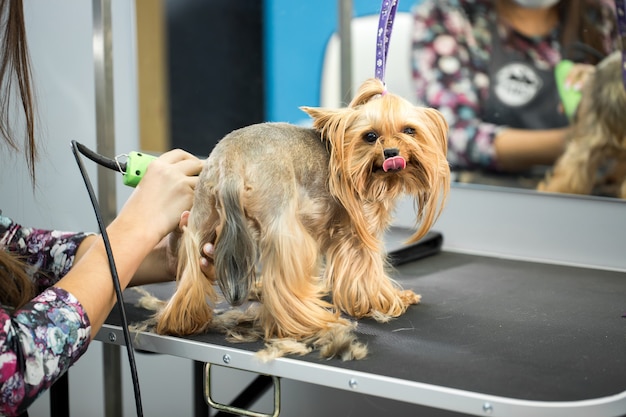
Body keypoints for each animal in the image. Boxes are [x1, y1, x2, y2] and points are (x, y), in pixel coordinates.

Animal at [151, 79, 446, 360]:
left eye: (409, 130)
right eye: (370, 136)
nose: (392, 153)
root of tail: (231, 164)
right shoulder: (359, 234)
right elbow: (368, 273)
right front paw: (391, 301)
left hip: (201, 217)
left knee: (191, 267)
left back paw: (181, 321)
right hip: (284, 224)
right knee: (284, 284)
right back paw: (314, 323)